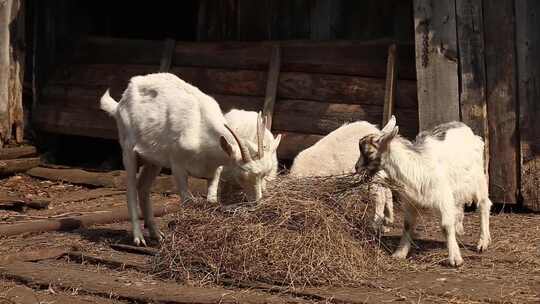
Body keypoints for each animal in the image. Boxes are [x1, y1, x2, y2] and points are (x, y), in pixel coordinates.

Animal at [100, 73, 278, 247]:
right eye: (242, 175)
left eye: (263, 175)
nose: (257, 202)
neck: (201, 131)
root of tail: (120, 104)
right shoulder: (177, 165)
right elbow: (187, 201)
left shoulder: (215, 170)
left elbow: (212, 200)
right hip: (128, 150)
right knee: (130, 188)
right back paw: (138, 238)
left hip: (154, 160)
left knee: (143, 187)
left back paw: (157, 235)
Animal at [356, 116, 492, 266]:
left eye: (369, 152)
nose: (356, 168)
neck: (417, 165)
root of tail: (466, 128)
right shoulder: (411, 201)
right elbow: (407, 225)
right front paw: (400, 253)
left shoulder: (443, 197)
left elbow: (446, 226)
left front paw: (455, 259)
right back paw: (459, 228)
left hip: (478, 179)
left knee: (484, 204)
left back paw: (483, 242)